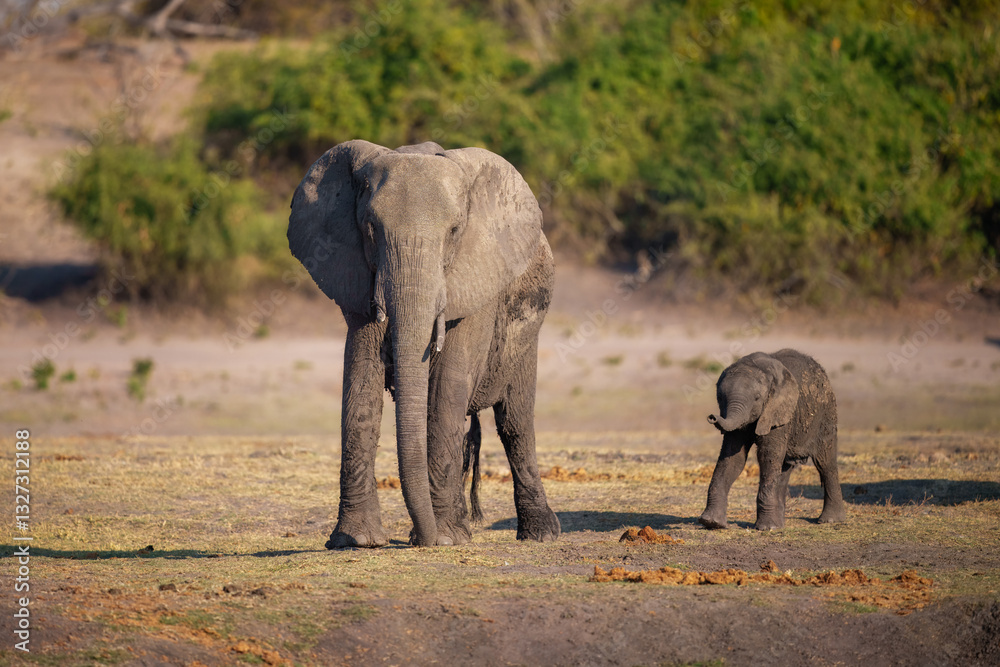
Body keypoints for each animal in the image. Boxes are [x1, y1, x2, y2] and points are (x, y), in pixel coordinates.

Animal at [287, 139, 560, 547]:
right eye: (370, 228)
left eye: (455, 231)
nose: (423, 538)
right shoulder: (358, 277)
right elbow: (360, 381)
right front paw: (356, 540)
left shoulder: (476, 282)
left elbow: (446, 387)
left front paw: (446, 538)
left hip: (528, 329)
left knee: (515, 422)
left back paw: (540, 534)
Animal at [699, 349, 846, 531]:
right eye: (720, 397)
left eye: (757, 398)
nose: (712, 417)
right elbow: (733, 458)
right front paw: (712, 522)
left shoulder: (778, 412)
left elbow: (767, 456)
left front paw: (766, 528)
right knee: (784, 468)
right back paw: (780, 524)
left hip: (826, 413)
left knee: (825, 462)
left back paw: (830, 520)